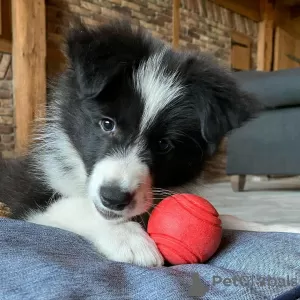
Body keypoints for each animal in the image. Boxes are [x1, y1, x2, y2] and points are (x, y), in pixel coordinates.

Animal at [0, 21, 278, 268]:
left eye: (164, 144)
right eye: (107, 124)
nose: (113, 198)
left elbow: (228, 216)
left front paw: (276, 227)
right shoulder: (23, 191)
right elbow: (74, 204)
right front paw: (130, 238)